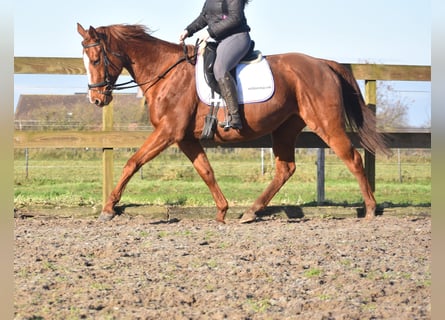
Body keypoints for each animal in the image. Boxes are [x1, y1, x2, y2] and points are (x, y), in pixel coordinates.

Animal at [77, 23, 388, 222]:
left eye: (96, 58)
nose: (96, 99)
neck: (165, 73)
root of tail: (323, 63)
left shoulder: (168, 131)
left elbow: (133, 163)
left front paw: (108, 208)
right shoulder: (185, 137)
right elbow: (206, 171)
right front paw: (222, 210)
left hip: (326, 123)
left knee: (352, 159)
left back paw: (371, 209)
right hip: (285, 128)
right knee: (285, 169)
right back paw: (251, 211)